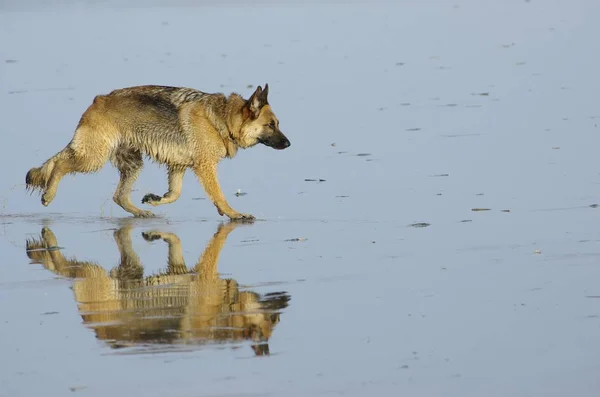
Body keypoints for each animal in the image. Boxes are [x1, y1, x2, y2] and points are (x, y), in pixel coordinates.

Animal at [24, 84, 292, 220]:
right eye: (271, 125)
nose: (289, 144)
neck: (223, 119)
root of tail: (97, 101)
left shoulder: (178, 166)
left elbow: (175, 194)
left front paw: (155, 199)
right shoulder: (205, 167)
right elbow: (219, 195)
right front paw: (233, 214)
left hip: (131, 163)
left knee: (119, 196)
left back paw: (141, 212)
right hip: (93, 157)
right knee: (61, 165)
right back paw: (48, 195)